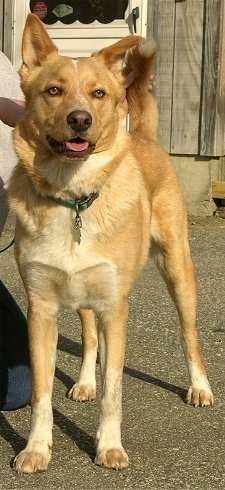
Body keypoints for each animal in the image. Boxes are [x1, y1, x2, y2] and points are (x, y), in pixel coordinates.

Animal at [8, 14, 213, 474]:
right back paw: (84, 380)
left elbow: (114, 388)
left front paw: (109, 447)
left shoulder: (116, 307)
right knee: (88, 336)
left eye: (99, 93)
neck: (72, 197)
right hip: (85, 291)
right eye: (54, 90)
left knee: (189, 335)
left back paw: (200, 387)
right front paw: (36, 449)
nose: (80, 119)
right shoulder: (40, 310)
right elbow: (41, 394)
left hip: (178, 272)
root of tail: (144, 136)